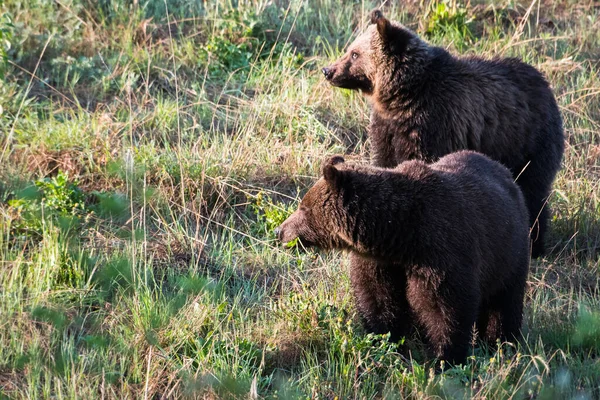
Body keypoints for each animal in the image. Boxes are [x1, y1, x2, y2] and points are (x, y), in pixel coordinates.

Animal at [274, 152, 528, 364]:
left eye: (304, 208)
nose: (280, 231)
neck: (400, 236)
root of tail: (506, 173)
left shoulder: (441, 254)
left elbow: (445, 308)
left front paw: (444, 358)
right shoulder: (380, 263)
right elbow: (378, 301)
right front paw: (385, 342)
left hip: (509, 253)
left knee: (504, 302)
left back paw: (500, 342)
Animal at [324, 10, 564, 260]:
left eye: (354, 53)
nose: (328, 71)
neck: (401, 98)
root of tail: (544, 83)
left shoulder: (432, 125)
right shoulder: (387, 130)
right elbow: (384, 164)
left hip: (527, 143)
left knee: (533, 190)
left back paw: (534, 244)